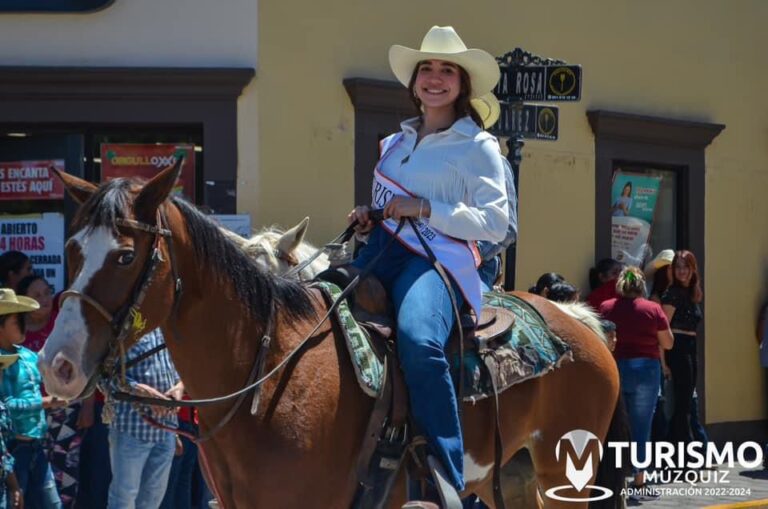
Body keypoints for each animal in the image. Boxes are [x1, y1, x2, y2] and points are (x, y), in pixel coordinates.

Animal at [37, 163, 624, 508]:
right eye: (71, 249)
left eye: (125, 256)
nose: (56, 365)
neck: (266, 373)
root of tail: (582, 322)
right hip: (519, 475)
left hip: (562, 470)